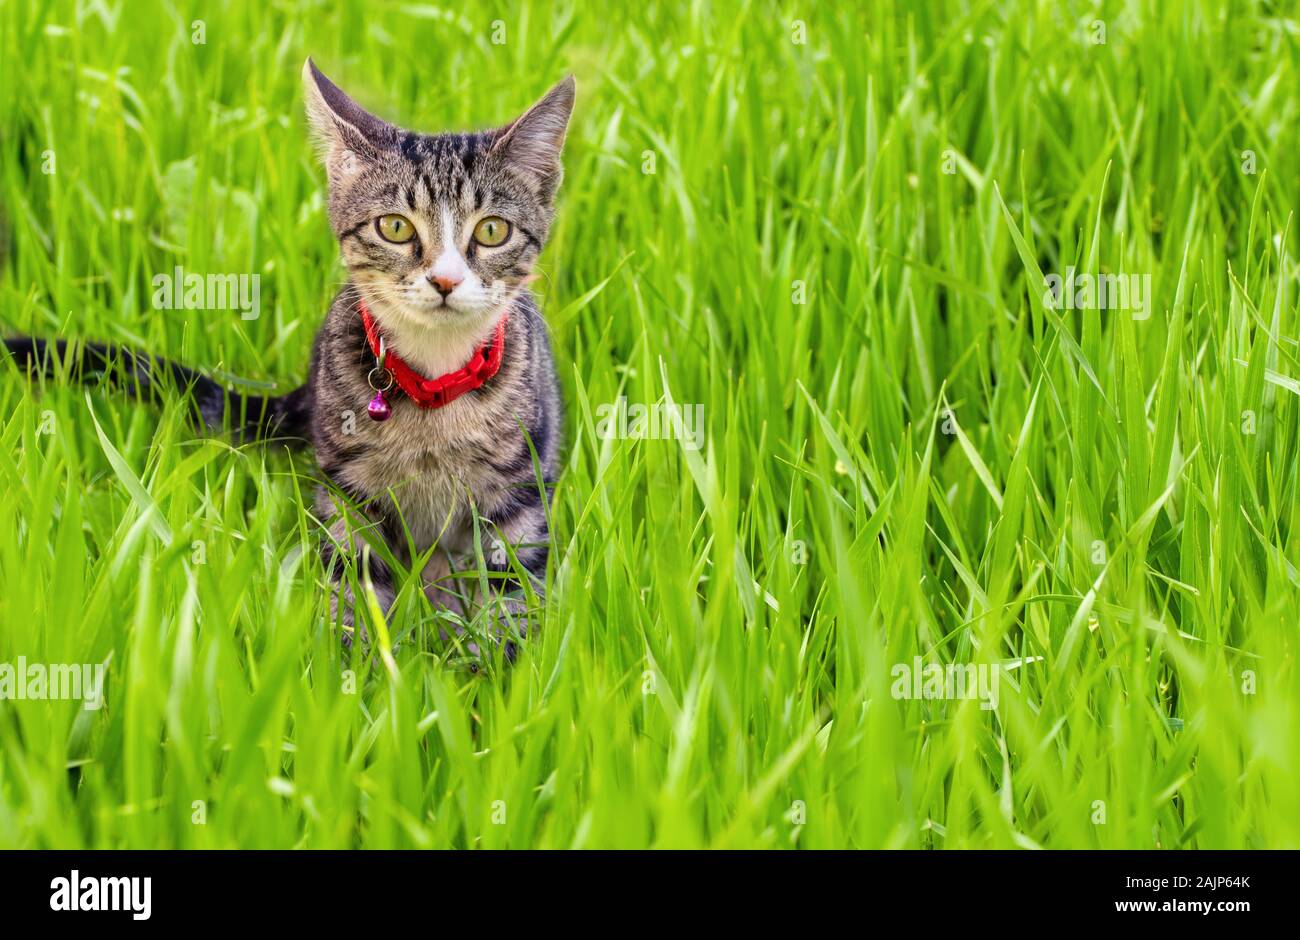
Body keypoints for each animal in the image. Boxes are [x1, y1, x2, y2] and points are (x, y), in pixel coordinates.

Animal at [5, 60, 574, 663]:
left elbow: (511, 583)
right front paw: (352, 668)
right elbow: (354, 576)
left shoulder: (520, 487)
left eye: (492, 230)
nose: (444, 281)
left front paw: (502, 672)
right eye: (394, 226)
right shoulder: (349, 487)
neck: (433, 384)